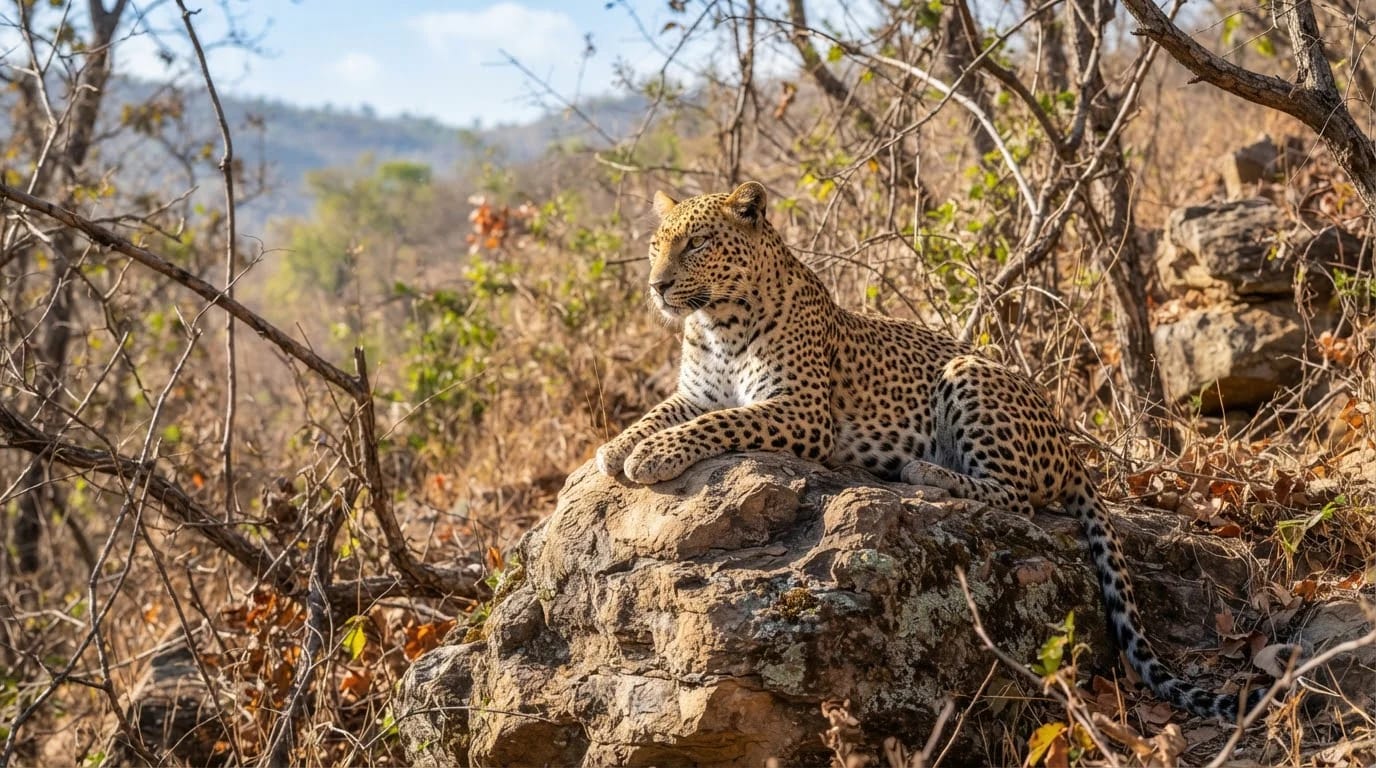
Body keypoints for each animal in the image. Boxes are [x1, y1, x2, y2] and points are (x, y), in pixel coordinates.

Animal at [596, 180, 1278, 722]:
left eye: (697, 243)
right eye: (657, 245)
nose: (656, 286)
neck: (716, 325)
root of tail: (1068, 445)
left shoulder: (801, 411)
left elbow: (720, 425)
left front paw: (651, 456)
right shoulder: (695, 393)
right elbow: (660, 414)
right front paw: (613, 450)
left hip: (968, 375)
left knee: (1016, 497)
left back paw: (924, 470)